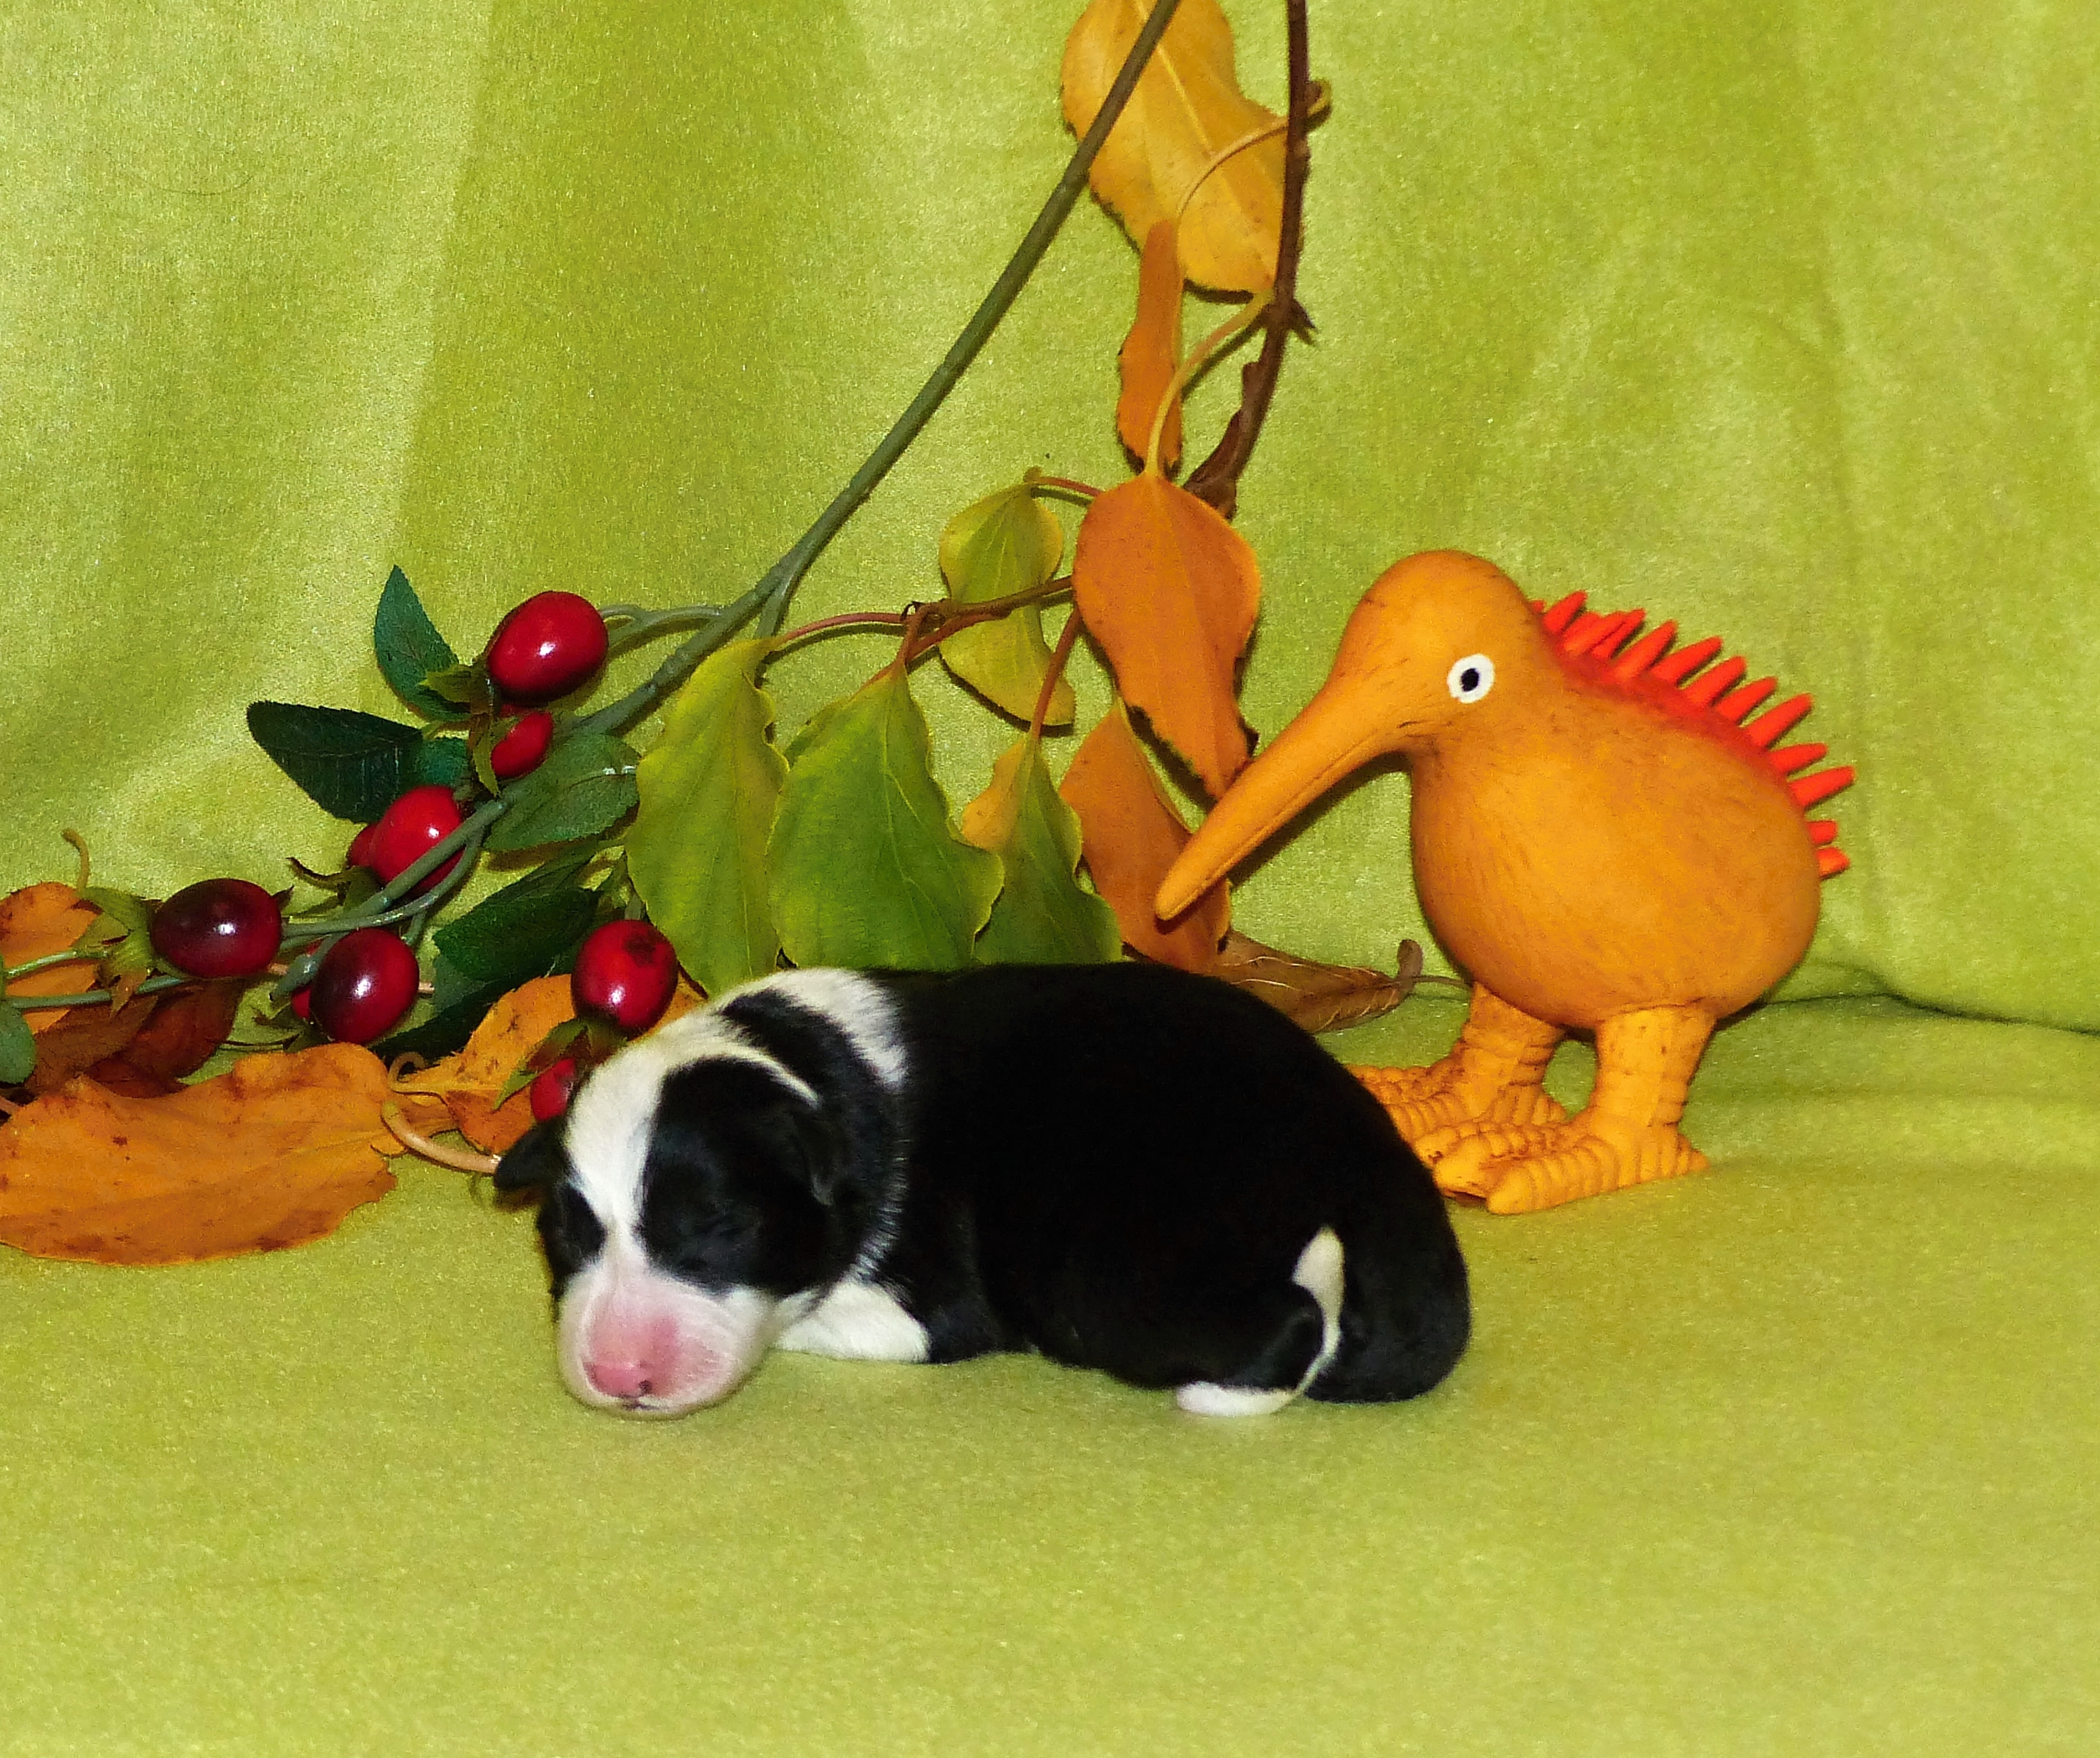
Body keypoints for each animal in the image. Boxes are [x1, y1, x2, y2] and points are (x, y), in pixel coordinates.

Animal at [495, 961, 1469, 1418]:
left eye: (721, 1226)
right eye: (567, 1237)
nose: (616, 1376)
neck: (813, 1070)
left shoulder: (930, 1304)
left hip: (1105, 1273)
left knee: (1296, 1316)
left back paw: (1213, 1396)